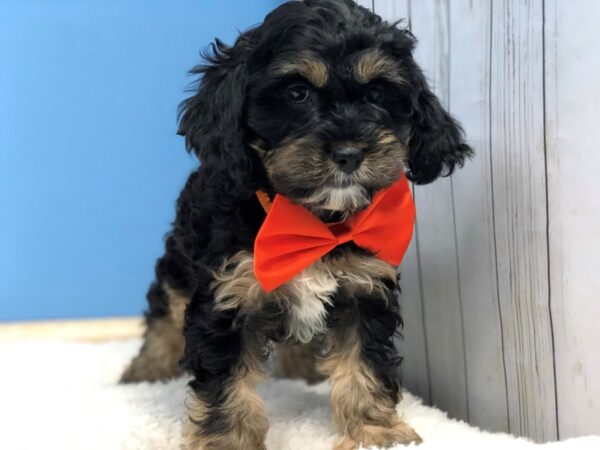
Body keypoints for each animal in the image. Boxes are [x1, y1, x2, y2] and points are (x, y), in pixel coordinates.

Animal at [120, 1, 468, 448]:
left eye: (377, 94)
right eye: (297, 93)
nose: (349, 153)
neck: (311, 218)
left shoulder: (364, 287)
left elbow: (365, 363)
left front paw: (376, 432)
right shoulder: (226, 294)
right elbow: (225, 384)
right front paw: (227, 440)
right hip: (179, 260)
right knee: (164, 309)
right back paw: (145, 372)